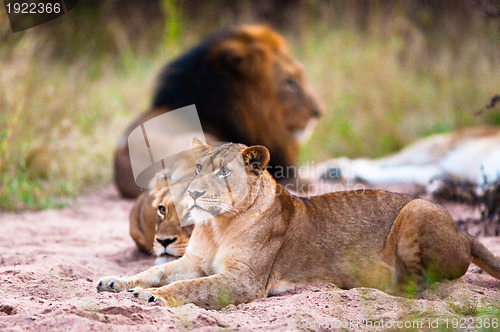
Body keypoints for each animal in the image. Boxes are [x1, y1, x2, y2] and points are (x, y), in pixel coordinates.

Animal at [96, 138, 500, 308]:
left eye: (224, 172)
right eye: (197, 168)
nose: (194, 192)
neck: (218, 226)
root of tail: (464, 231)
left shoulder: (243, 281)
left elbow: (190, 288)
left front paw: (153, 296)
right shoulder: (193, 262)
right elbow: (156, 271)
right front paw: (116, 281)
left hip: (417, 208)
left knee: (421, 284)